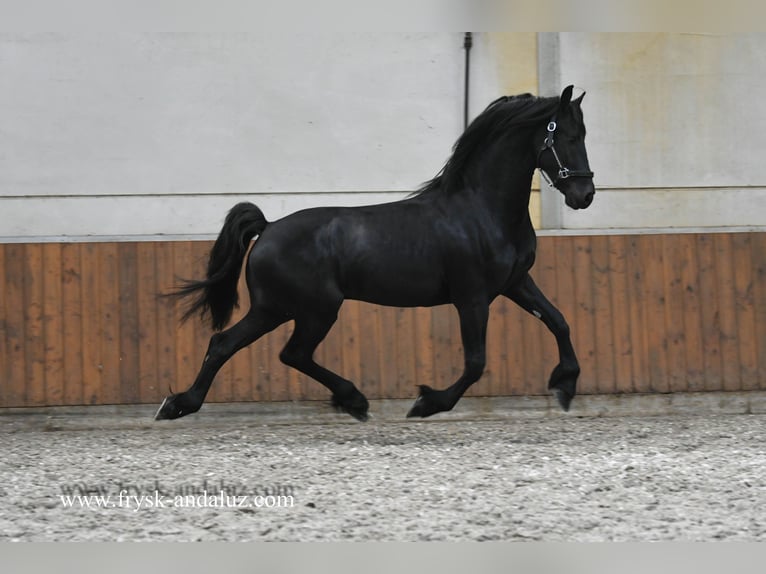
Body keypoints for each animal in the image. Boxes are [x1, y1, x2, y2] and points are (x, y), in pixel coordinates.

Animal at [154, 85, 595, 422]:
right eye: (568, 137)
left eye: (583, 135)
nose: (584, 195)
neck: (481, 209)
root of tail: (268, 227)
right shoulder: (471, 298)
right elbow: (475, 362)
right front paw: (426, 403)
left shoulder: (515, 283)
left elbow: (559, 321)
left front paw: (565, 384)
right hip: (311, 309)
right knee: (285, 352)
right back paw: (353, 400)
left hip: (278, 309)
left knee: (229, 345)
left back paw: (179, 405)